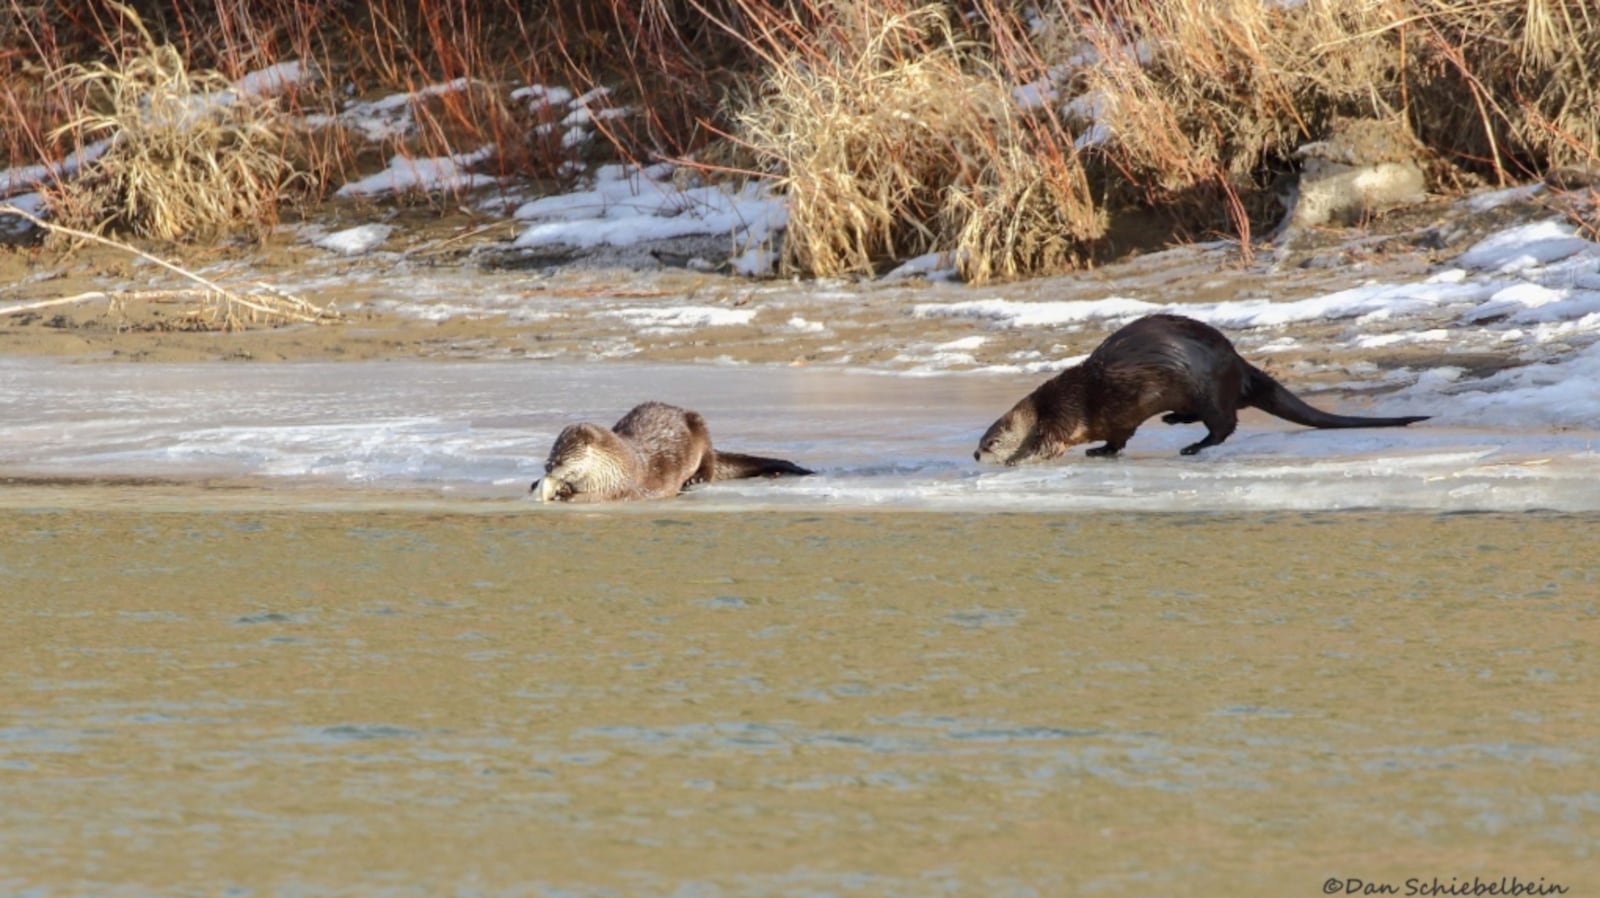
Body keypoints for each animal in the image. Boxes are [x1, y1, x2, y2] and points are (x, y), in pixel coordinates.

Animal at [532, 401, 812, 502]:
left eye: (560, 457)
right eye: (550, 455)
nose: (547, 467)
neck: (618, 466)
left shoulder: (624, 485)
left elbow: (603, 495)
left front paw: (566, 493)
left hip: (698, 426)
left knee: (709, 459)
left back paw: (695, 479)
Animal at [975, 314, 1429, 464]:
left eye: (991, 439)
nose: (976, 454)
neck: (1046, 404)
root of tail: (1239, 365)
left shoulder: (1063, 413)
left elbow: (1049, 442)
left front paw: (1018, 459)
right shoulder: (1116, 418)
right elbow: (1118, 438)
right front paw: (1101, 451)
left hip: (1207, 387)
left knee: (1225, 424)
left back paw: (1193, 446)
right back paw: (1174, 420)